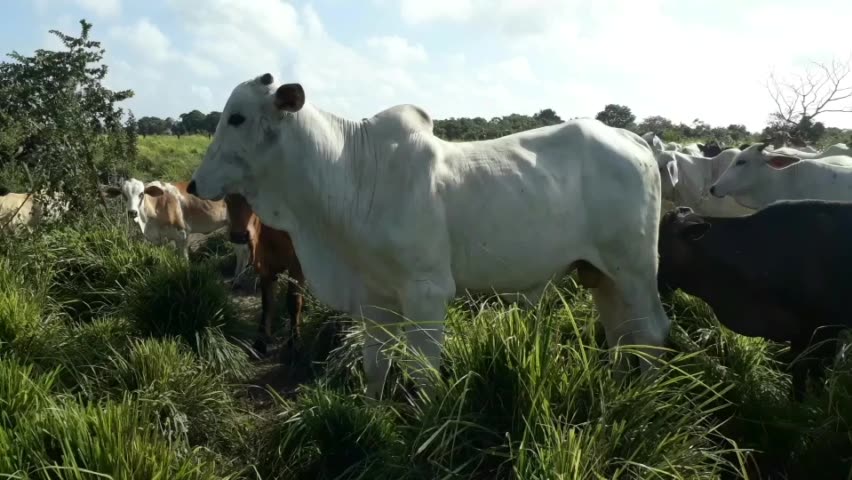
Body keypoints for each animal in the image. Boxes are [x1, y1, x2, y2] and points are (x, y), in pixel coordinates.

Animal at [103, 178, 250, 276]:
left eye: (141, 194)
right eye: (123, 195)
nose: (132, 212)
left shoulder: (182, 234)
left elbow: (184, 260)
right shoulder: (158, 241)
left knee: (244, 251)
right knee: (241, 251)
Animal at [224, 192, 305, 358]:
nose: (239, 236)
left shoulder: (297, 263)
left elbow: (293, 302)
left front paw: (295, 342)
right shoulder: (264, 266)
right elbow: (267, 303)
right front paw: (260, 343)